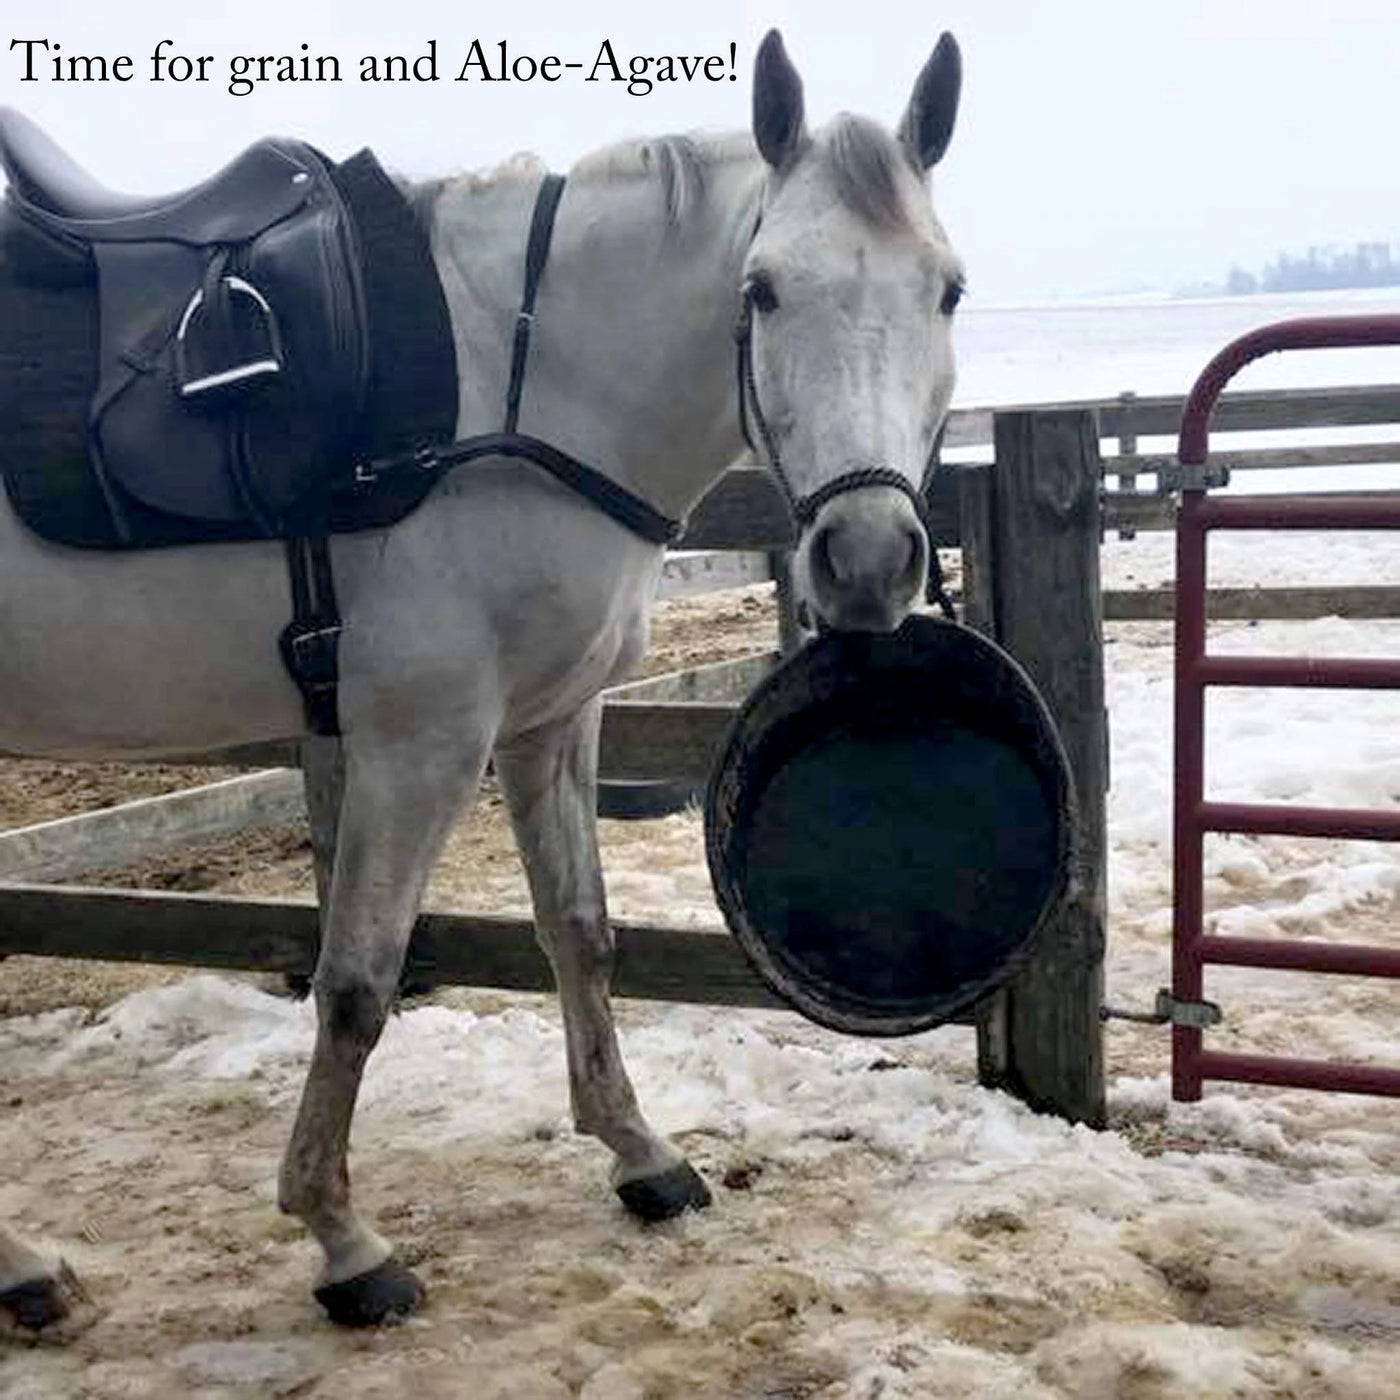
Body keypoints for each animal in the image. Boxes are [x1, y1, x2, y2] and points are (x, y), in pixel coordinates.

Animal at [0, 29, 964, 1330]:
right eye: (761, 288)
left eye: (944, 288)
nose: (865, 561)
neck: (522, 384)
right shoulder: (420, 742)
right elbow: (357, 982)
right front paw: (342, 1238)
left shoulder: (550, 722)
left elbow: (580, 930)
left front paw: (638, 1150)